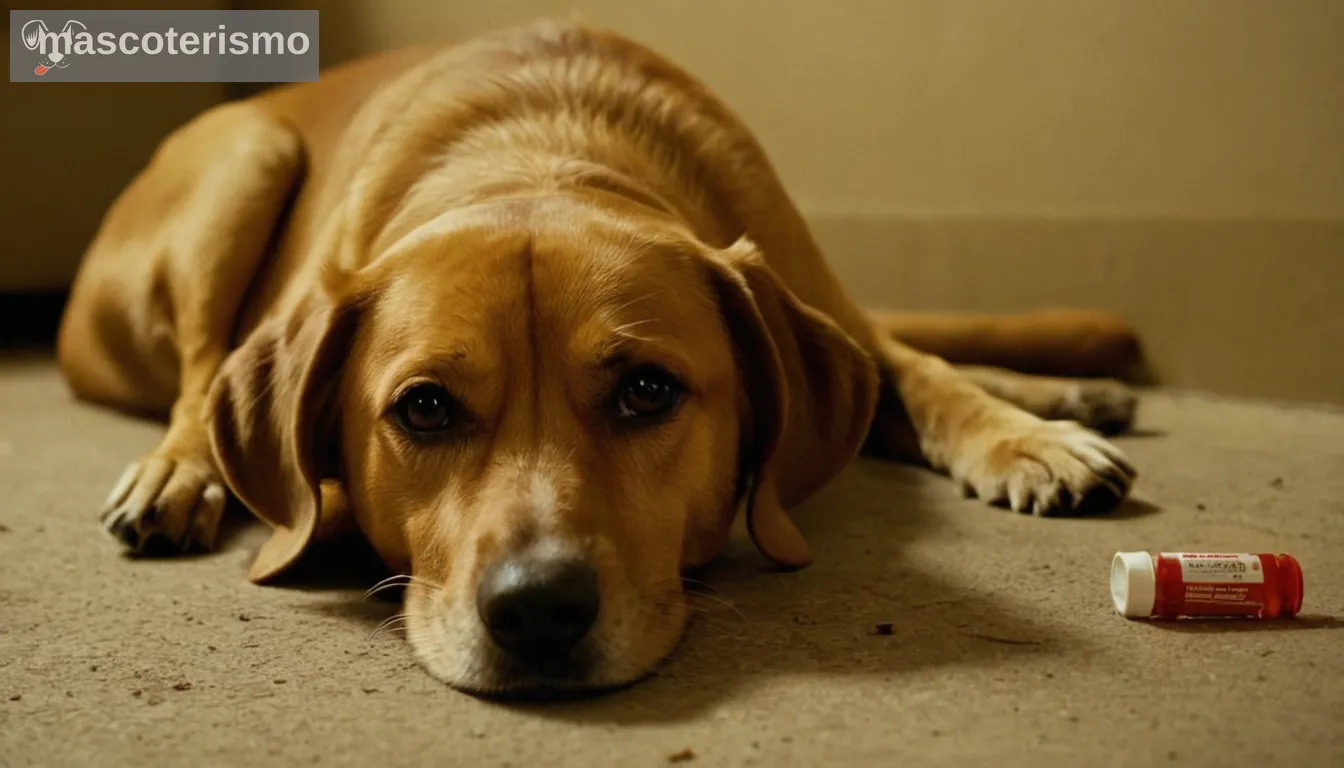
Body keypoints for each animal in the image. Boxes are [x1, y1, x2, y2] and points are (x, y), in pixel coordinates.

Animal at [57, 21, 1139, 699]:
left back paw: (1072, 394)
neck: (539, 149)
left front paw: (1026, 437)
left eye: (648, 391)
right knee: (200, 376)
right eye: (424, 408)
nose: (537, 610)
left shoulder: (819, 299)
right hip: (247, 159)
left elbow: (924, 376)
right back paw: (178, 473)